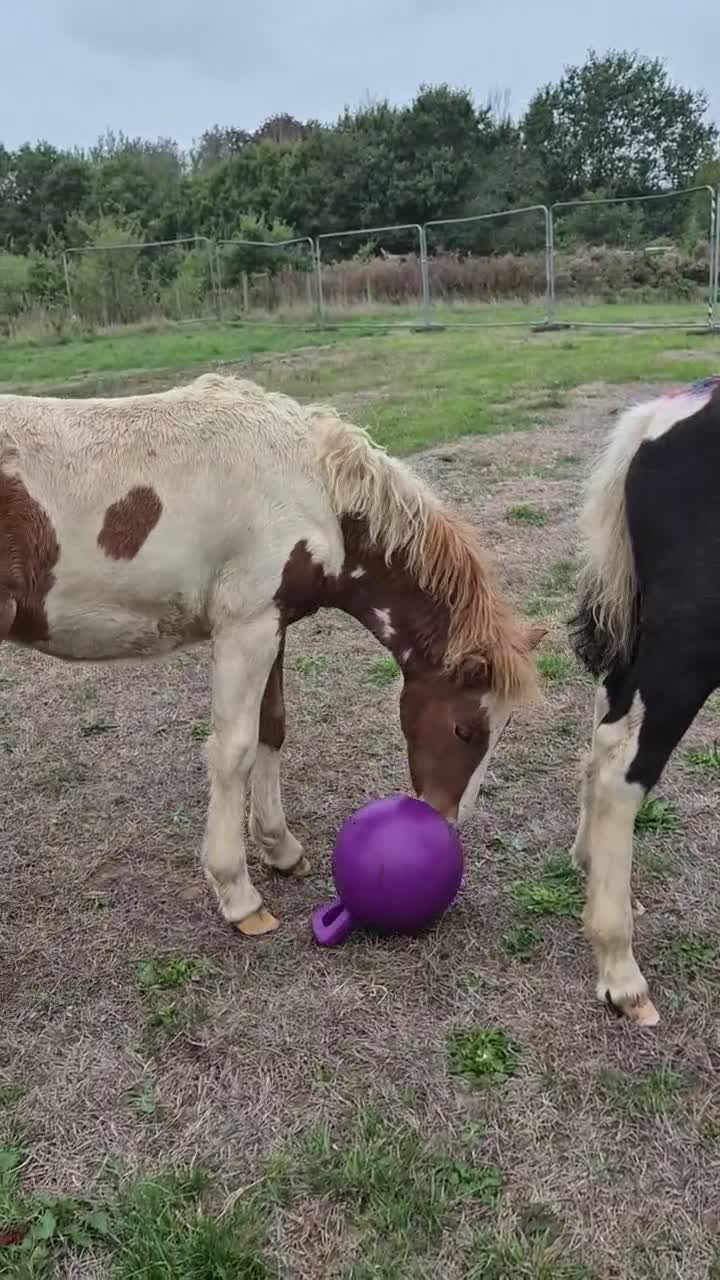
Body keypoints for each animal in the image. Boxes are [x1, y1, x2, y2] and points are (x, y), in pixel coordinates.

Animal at [1, 373, 545, 937]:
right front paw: (239, 894)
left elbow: (273, 726)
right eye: (465, 730)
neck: (309, 490)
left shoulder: (273, 624)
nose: (445, 820)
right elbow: (234, 750)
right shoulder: (247, 628)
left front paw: (280, 848)